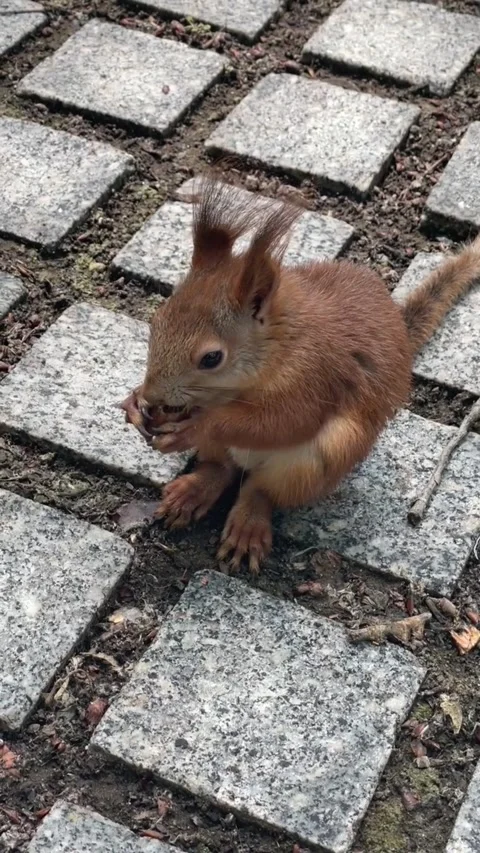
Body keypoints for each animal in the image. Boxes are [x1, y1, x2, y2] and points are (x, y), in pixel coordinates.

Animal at [121, 175, 480, 574]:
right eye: (157, 320)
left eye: (212, 358)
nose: (153, 395)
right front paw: (135, 403)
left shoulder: (315, 375)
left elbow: (286, 422)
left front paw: (198, 425)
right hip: (233, 457)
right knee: (222, 468)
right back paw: (192, 491)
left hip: (318, 461)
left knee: (260, 488)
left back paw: (247, 525)